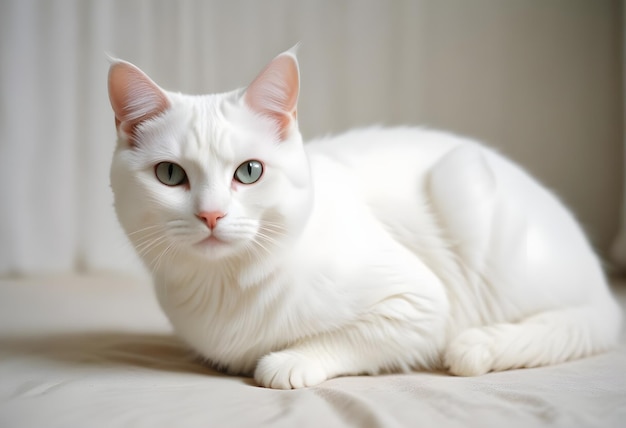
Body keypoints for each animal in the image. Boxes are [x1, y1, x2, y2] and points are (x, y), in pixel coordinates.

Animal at [107, 46, 620, 388]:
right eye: (170, 174)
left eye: (249, 172)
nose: (212, 214)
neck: (226, 287)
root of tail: (603, 287)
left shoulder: (418, 306)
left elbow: (344, 341)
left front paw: (288, 362)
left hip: (464, 187)